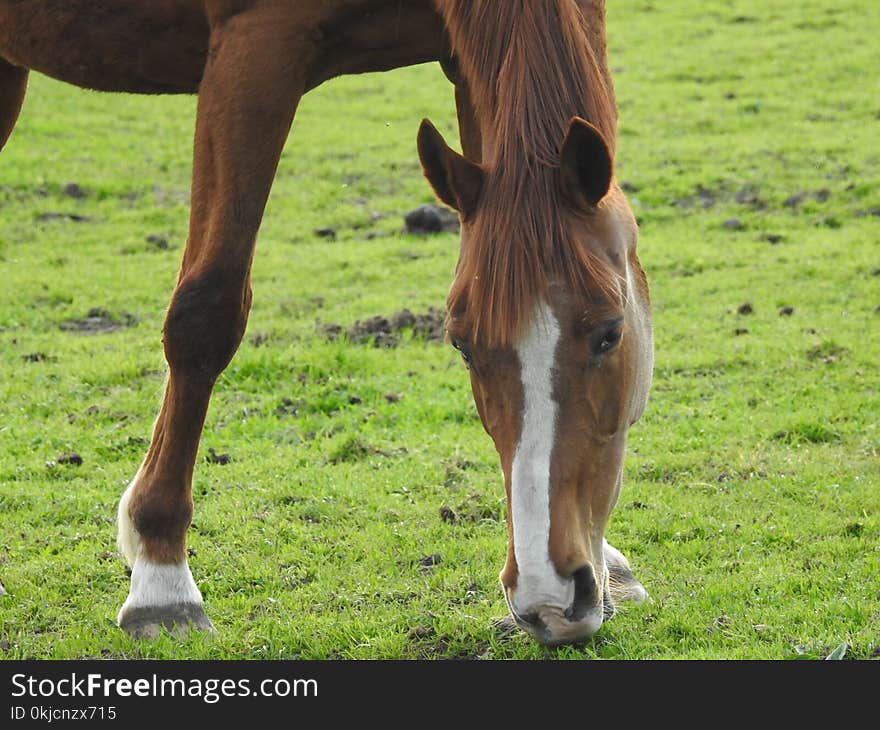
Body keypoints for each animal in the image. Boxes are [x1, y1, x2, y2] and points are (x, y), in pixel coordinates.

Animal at [1, 1, 652, 648]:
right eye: (463, 346)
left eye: (610, 333)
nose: (551, 598)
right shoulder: (252, 50)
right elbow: (205, 314)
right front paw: (161, 578)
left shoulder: (464, 62)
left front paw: (608, 566)